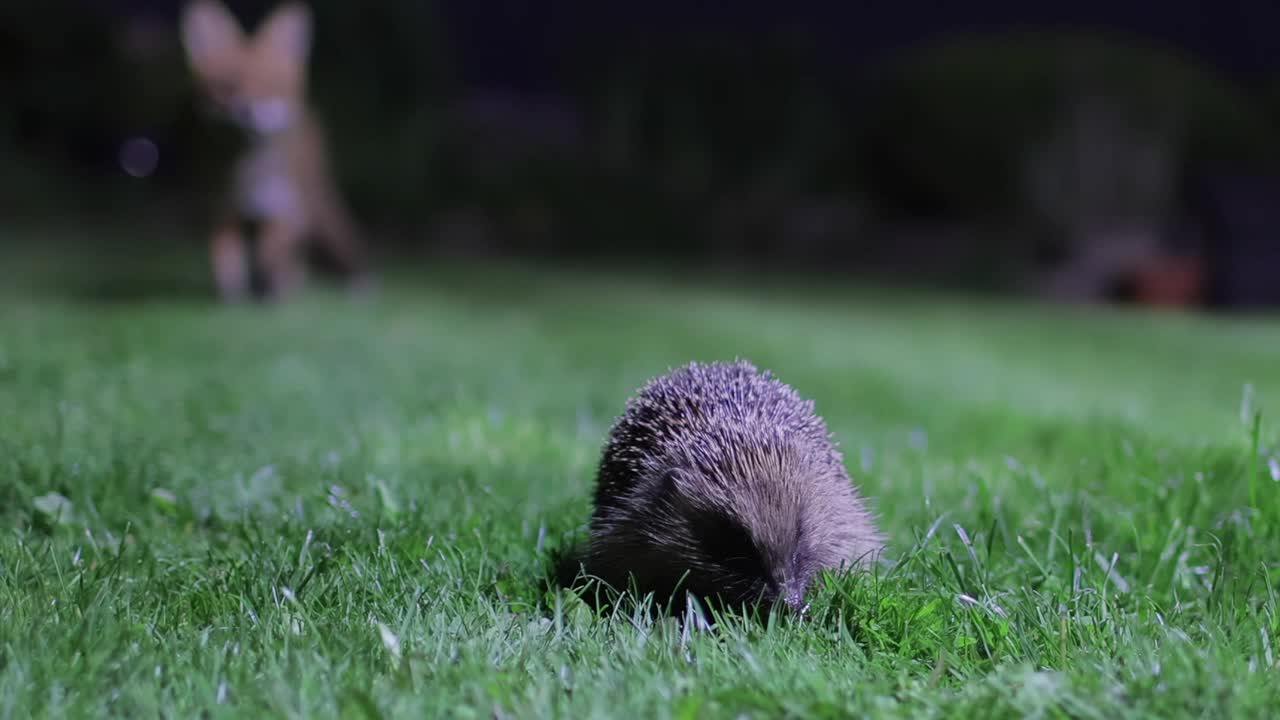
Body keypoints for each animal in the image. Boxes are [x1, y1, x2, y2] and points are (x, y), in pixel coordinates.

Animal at [180, 0, 371, 299]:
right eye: (227, 87)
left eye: (270, 84)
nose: (247, 111)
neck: (247, 179)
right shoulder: (222, 210)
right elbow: (225, 257)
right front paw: (232, 296)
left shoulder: (287, 210)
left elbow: (273, 248)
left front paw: (268, 286)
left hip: (314, 202)